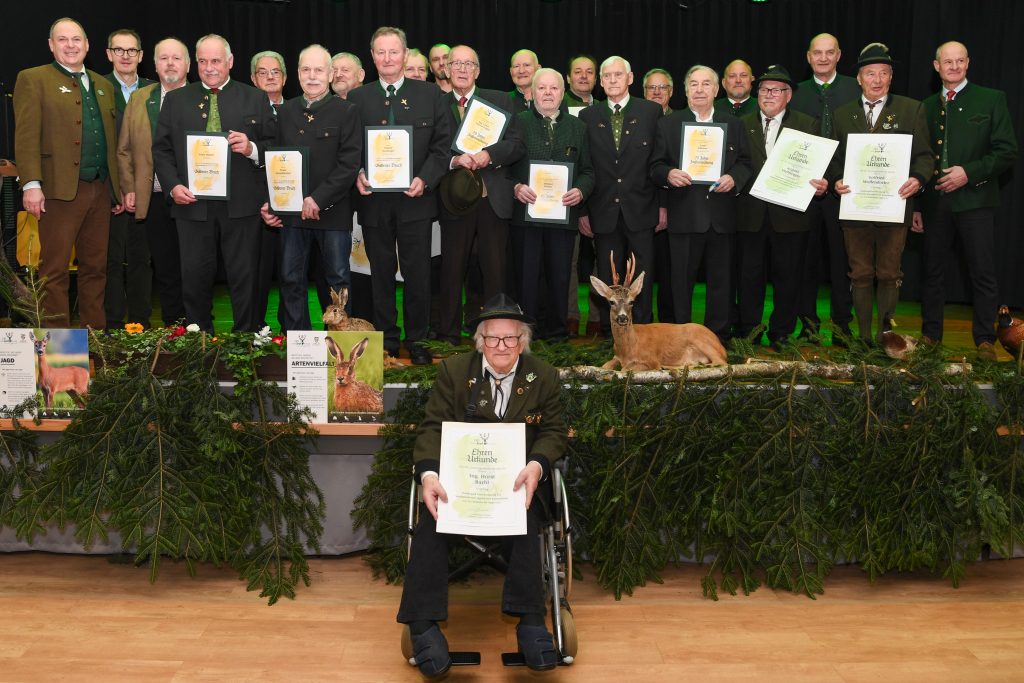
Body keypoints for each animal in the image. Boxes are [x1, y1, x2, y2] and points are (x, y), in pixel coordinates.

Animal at [589, 253, 733, 370]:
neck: (627, 348)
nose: (623, 318)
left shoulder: (651, 359)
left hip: (702, 341)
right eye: (611, 302)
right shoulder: (616, 357)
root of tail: (722, 346)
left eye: (631, 302)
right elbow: (604, 366)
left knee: (722, 362)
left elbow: (626, 369)